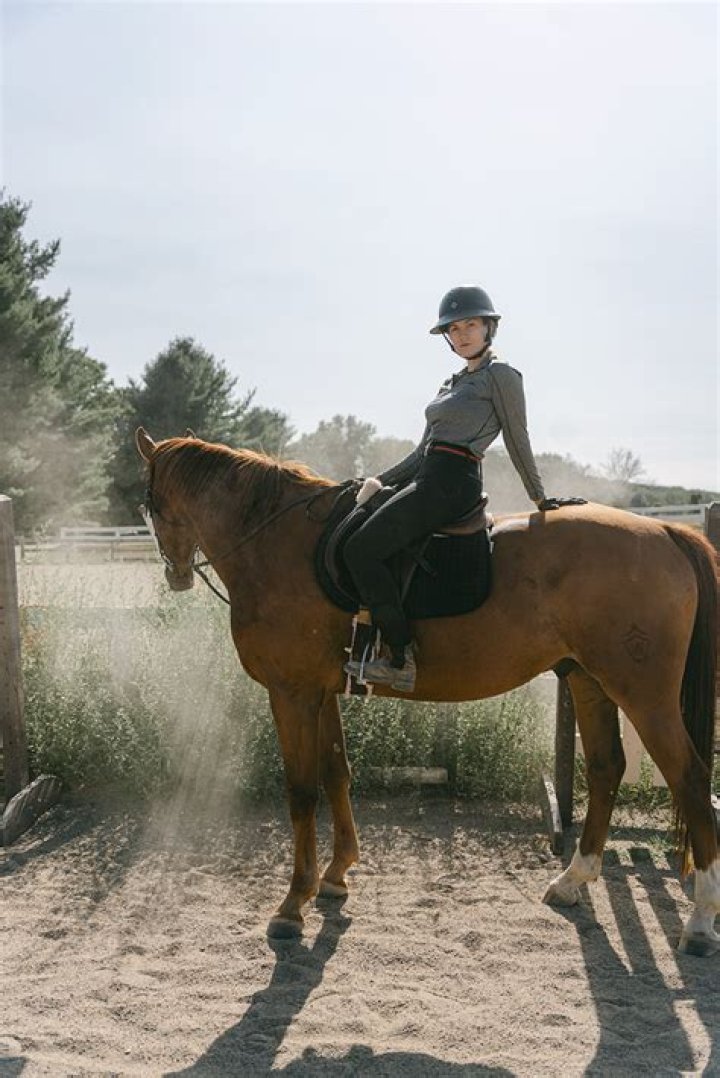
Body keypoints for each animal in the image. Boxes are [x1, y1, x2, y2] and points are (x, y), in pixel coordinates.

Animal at [135, 428, 719, 955]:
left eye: (149, 503)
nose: (175, 573)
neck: (279, 541)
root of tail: (665, 530)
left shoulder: (292, 693)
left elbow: (301, 791)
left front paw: (292, 904)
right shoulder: (322, 692)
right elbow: (336, 772)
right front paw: (336, 875)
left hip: (644, 696)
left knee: (690, 779)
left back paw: (699, 920)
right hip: (588, 680)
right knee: (605, 769)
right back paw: (572, 882)